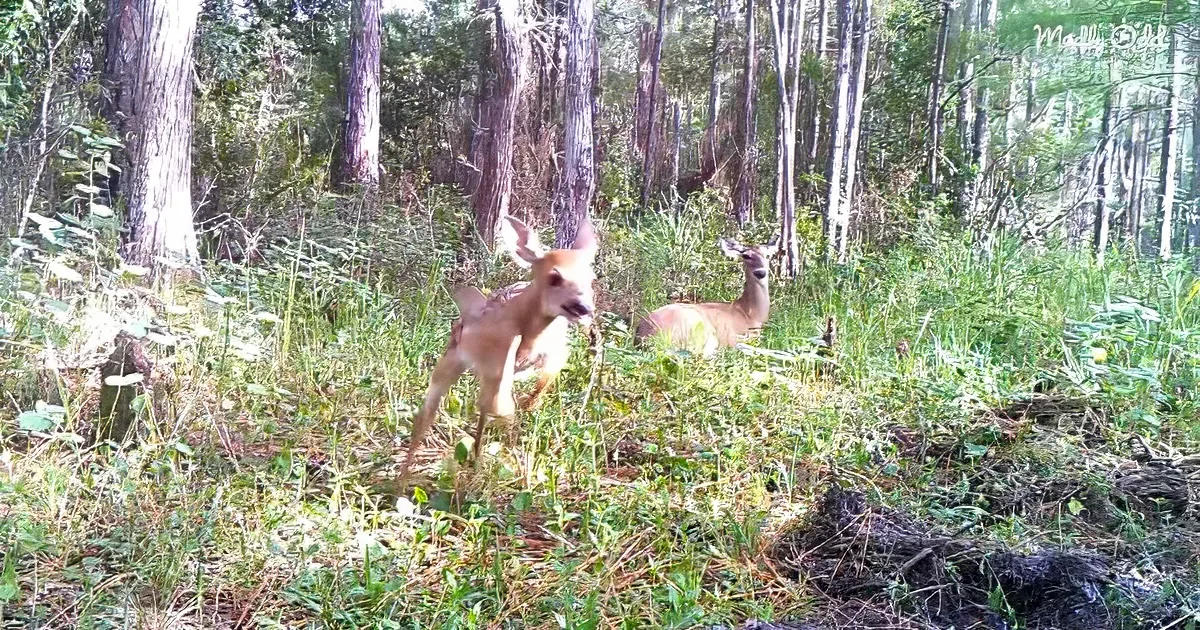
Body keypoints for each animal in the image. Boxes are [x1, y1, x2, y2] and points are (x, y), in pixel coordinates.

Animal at [397, 215, 598, 484]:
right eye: (554, 277)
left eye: (591, 278)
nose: (584, 307)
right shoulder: (495, 358)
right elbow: (501, 406)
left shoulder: (552, 353)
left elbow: (540, 383)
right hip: (459, 359)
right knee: (433, 412)